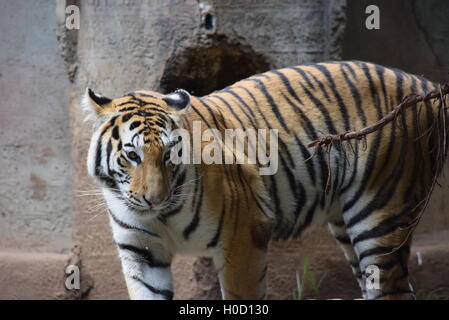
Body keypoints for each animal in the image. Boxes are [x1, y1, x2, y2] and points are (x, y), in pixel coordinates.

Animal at [82, 60, 446, 300]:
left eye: (169, 155)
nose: (154, 199)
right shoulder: (142, 252)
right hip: (348, 223)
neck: (161, 217)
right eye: (133, 156)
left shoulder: (243, 234)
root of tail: (424, 84)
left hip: (381, 214)